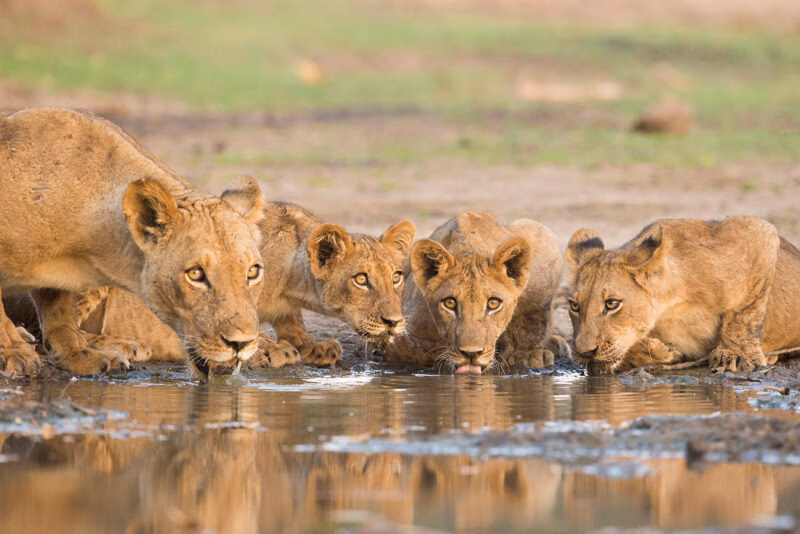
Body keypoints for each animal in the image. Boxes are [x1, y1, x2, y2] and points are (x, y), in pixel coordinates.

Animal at [0, 108, 265, 378]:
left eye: (252, 272)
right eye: (195, 274)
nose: (241, 343)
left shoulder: (58, 281)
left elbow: (59, 311)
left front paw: (77, 355)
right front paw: (14, 353)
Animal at [58, 202, 416, 368]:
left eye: (396, 277)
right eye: (361, 279)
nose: (394, 322)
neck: (290, 280)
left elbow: (292, 325)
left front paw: (312, 346)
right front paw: (271, 349)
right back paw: (124, 346)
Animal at [385, 211, 568, 374]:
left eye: (493, 303)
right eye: (449, 303)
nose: (471, 353)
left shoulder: (545, 260)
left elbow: (533, 319)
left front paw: (526, 355)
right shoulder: (402, 338)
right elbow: (423, 350)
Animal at [565, 217, 800, 375]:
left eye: (612, 303)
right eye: (574, 306)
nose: (583, 352)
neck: (669, 307)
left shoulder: (756, 231)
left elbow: (744, 314)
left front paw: (736, 355)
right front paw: (661, 352)